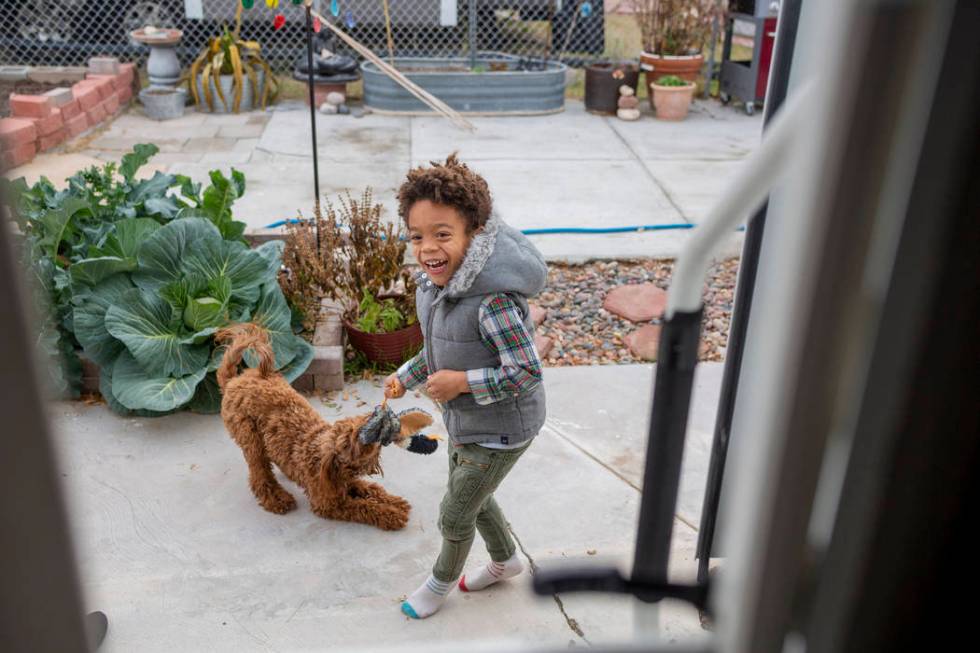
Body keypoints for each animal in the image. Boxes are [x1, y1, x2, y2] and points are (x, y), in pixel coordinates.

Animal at [216, 324, 430, 528]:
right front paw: (391, 514)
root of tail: (232, 381)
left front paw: (394, 502)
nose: (373, 415)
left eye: (353, 423)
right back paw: (277, 498)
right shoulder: (328, 503)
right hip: (250, 439)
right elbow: (364, 506)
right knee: (259, 474)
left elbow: (369, 489)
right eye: (351, 441)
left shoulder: (348, 482)